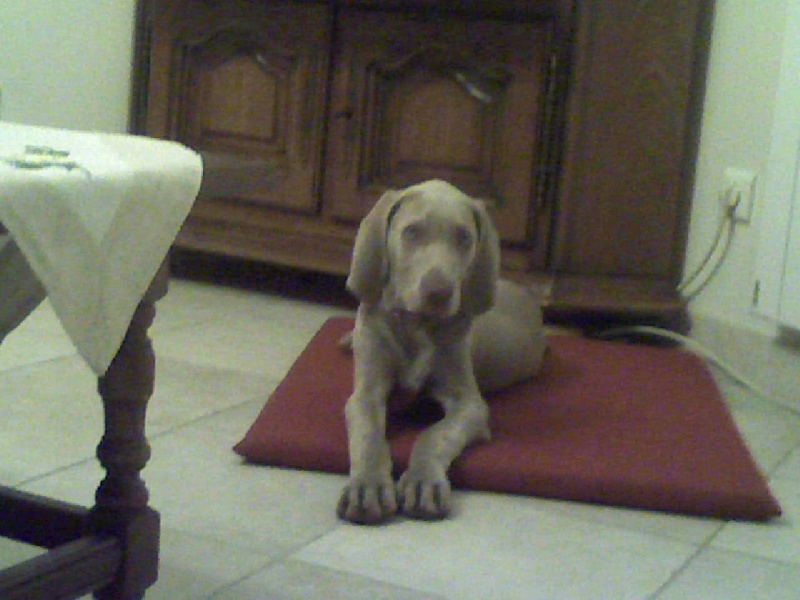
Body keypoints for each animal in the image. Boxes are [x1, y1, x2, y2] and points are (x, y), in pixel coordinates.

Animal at [338, 180, 546, 524]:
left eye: (464, 237)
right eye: (411, 232)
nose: (439, 292)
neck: (417, 325)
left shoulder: (470, 404)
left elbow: (434, 435)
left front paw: (423, 482)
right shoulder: (366, 392)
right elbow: (368, 433)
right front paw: (368, 485)